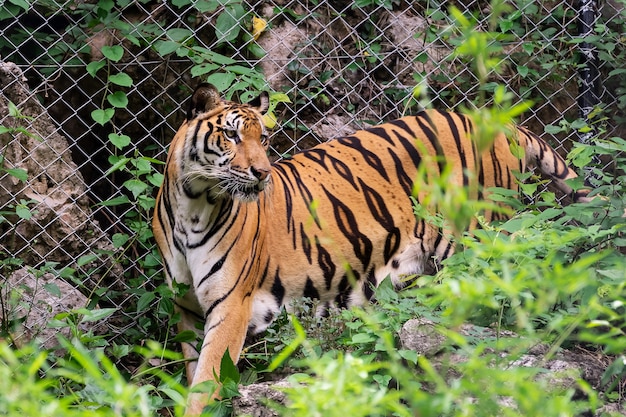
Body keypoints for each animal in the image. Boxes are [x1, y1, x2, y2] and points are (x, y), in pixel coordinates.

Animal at [151, 82, 588, 412]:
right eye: (232, 134)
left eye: (264, 138)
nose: (262, 173)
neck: (194, 204)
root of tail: (501, 126)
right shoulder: (188, 307)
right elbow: (191, 371)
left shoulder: (231, 306)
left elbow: (205, 384)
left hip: (479, 241)